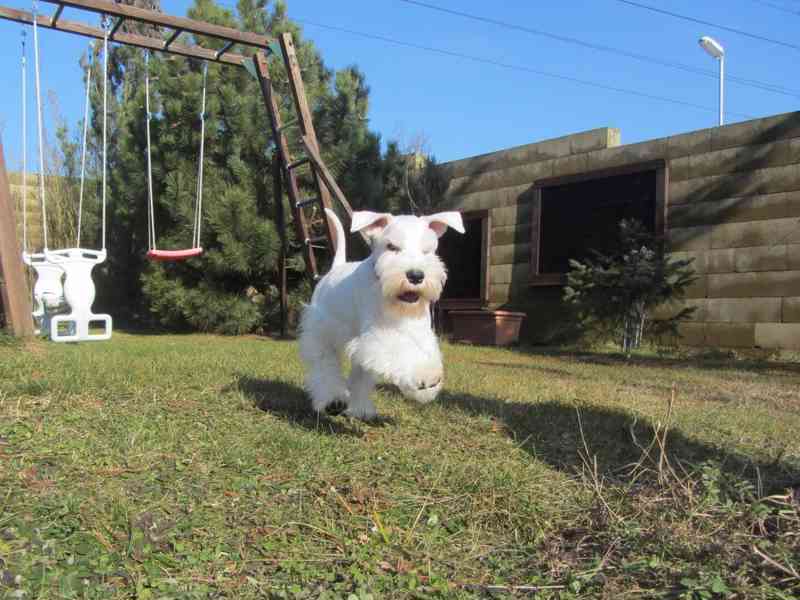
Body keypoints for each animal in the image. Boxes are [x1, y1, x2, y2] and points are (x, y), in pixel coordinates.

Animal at [298, 209, 462, 420]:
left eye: (427, 250)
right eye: (391, 247)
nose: (416, 276)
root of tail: (335, 268)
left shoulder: (419, 332)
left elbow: (423, 351)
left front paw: (425, 387)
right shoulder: (380, 335)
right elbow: (403, 352)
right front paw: (423, 374)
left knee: (359, 376)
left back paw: (360, 409)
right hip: (321, 333)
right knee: (324, 365)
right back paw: (333, 399)